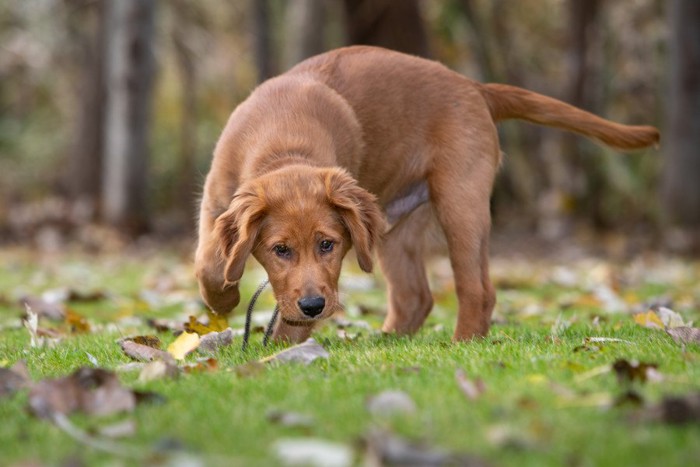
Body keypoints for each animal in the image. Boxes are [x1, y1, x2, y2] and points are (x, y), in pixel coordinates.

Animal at [194, 44, 660, 344]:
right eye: (280, 250)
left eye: (328, 244)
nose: (313, 306)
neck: (285, 143)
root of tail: (475, 86)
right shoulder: (214, 205)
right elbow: (208, 266)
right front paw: (226, 300)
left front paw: (279, 342)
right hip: (392, 225)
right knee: (414, 297)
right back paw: (385, 343)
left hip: (461, 203)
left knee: (476, 290)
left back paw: (462, 344)